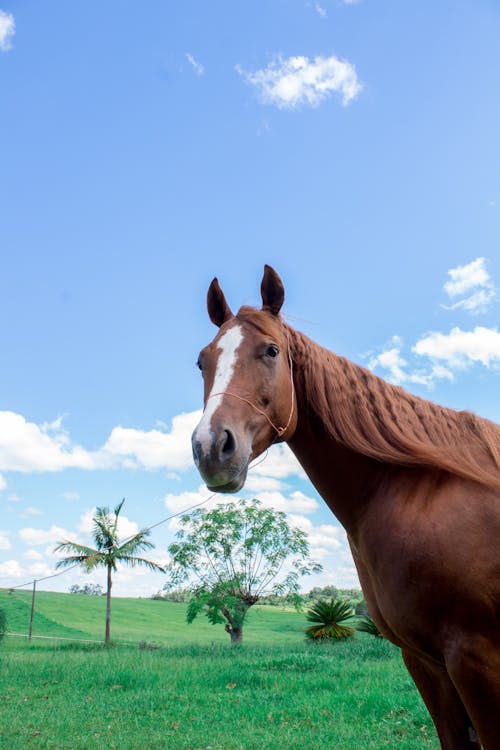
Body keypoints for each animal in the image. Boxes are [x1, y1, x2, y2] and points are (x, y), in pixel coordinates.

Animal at [191, 266, 500, 750]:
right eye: (202, 361)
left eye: (271, 351)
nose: (210, 447)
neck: (414, 492)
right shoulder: (427, 663)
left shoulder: (477, 660)